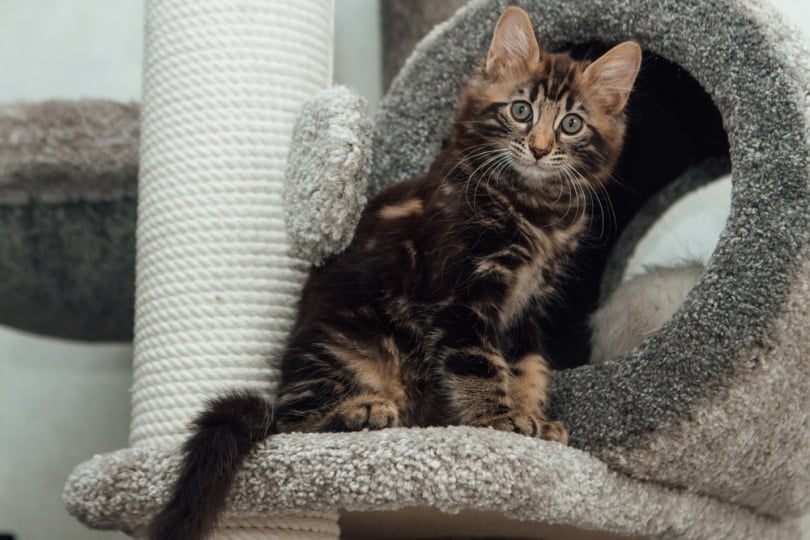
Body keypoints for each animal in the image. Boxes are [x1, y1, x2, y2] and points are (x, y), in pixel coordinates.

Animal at [145, 8, 636, 540]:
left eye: (571, 124)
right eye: (521, 111)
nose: (541, 149)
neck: (532, 206)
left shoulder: (526, 308)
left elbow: (526, 368)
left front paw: (531, 419)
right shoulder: (458, 297)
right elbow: (480, 367)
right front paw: (499, 423)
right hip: (349, 346)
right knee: (291, 426)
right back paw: (362, 411)